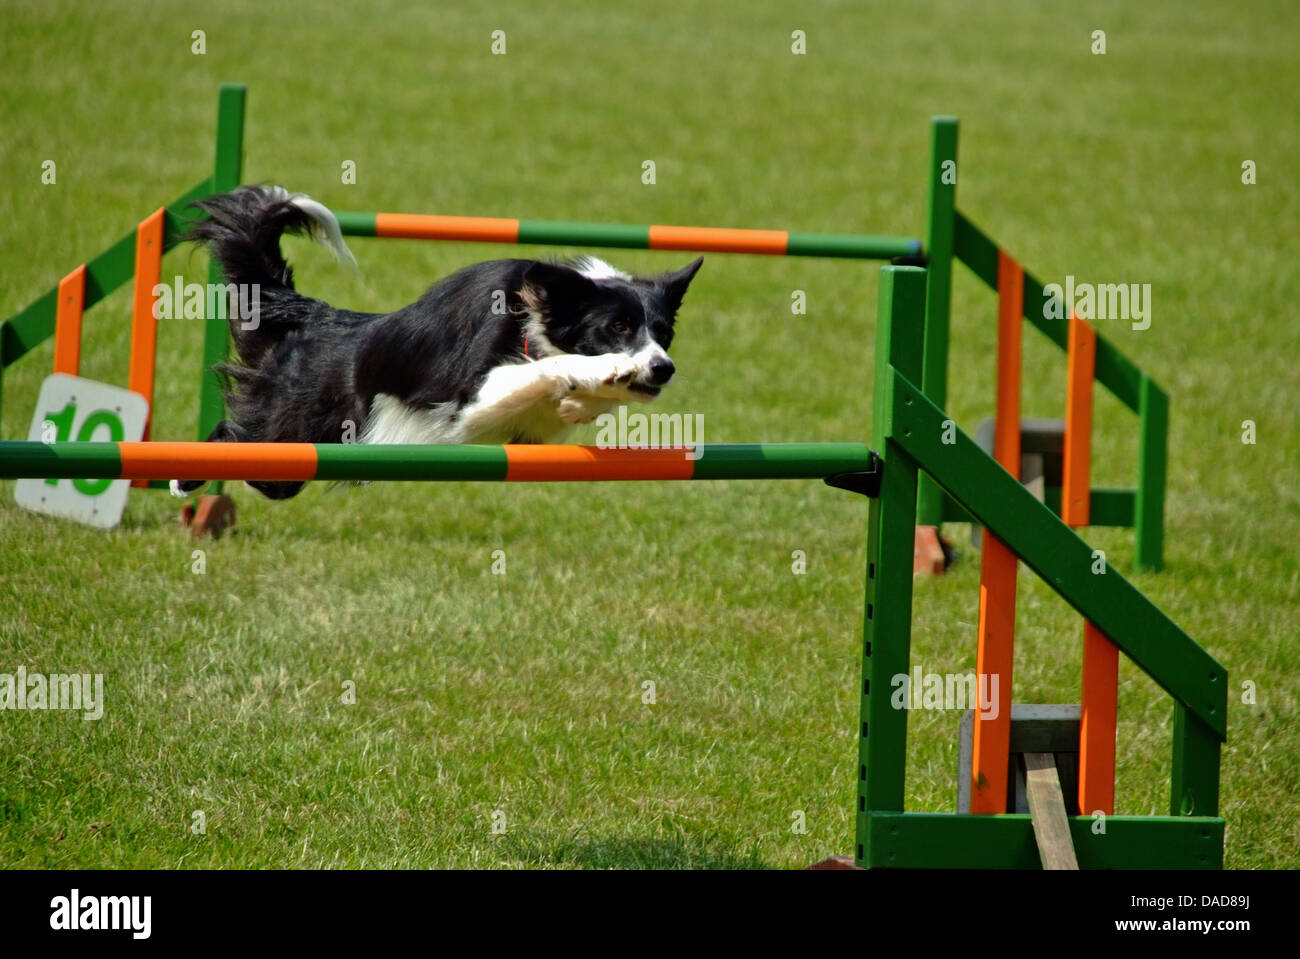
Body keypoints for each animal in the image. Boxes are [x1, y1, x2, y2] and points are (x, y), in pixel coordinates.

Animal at [175, 187, 702, 501]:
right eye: (618, 327)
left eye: (665, 334)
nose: (664, 368)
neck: (532, 316)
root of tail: (311, 315)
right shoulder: (467, 402)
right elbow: (543, 370)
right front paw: (601, 371)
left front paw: (584, 402)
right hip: (290, 443)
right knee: (234, 436)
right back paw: (184, 479)